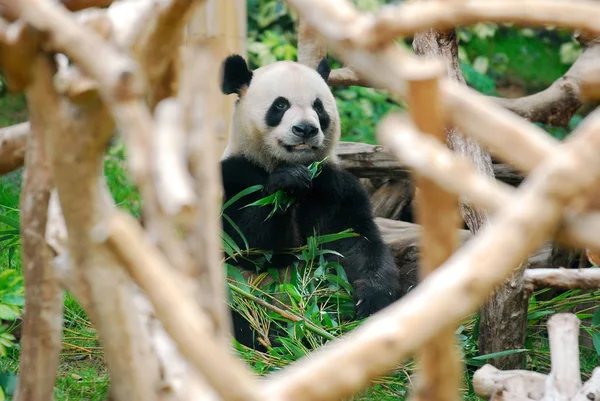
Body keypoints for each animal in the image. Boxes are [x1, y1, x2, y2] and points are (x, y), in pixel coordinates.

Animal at [218, 54, 400, 348]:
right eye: (280, 105)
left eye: (318, 107)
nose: (305, 129)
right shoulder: (233, 179)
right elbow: (249, 246)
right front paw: (287, 184)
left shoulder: (335, 188)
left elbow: (356, 244)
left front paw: (373, 303)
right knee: (240, 314)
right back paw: (275, 338)